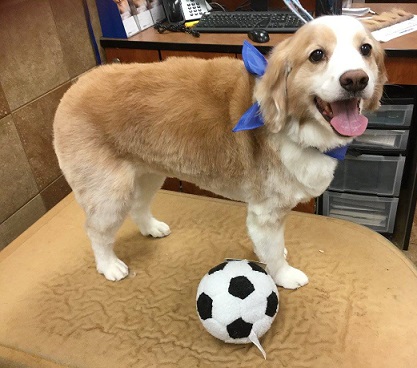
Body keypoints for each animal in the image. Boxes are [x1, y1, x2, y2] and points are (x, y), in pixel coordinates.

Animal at [53, 15, 386, 288]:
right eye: (317, 55)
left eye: (366, 49)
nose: (356, 79)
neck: (293, 126)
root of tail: (76, 85)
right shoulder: (265, 212)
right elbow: (273, 253)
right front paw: (285, 275)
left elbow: (269, 245)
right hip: (108, 192)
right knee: (95, 231)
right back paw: (109, 265)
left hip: (147, 173)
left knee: (138, 205)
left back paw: (151, 228)